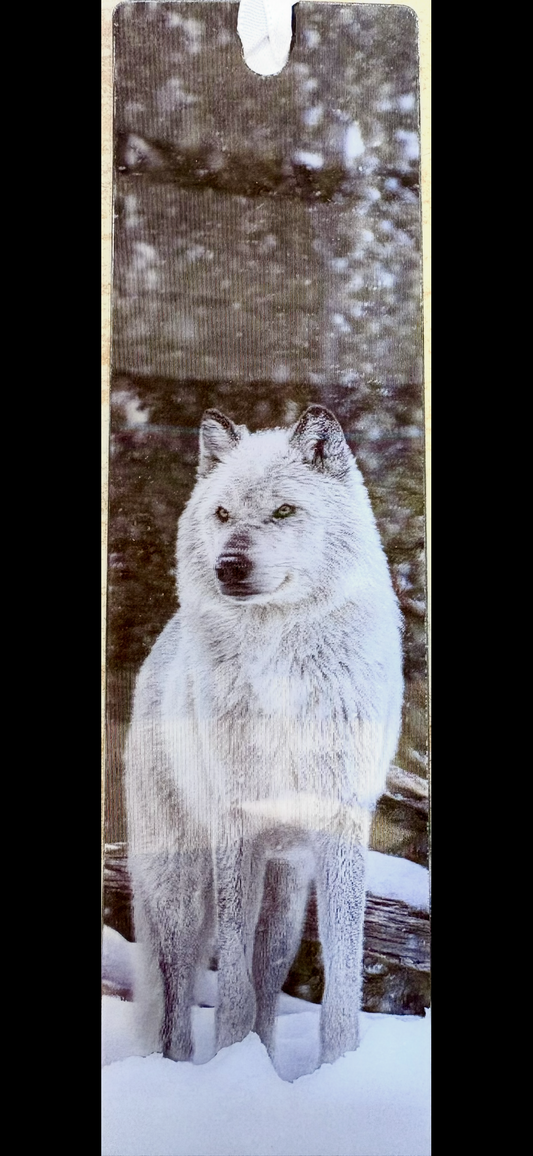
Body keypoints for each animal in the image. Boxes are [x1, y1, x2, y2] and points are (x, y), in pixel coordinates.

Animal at [125, 404, 403, 1070]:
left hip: (286, 889)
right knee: (177, 998)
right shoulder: (237, 828)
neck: (283, 677)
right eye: (223, 514)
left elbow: (341, 981)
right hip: (180, 887)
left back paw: (272, 1062)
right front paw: (233, 1067)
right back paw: (180, 1069)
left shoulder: (339, 825)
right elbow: (231, 988)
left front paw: (338, 1071)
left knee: (270, 972)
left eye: (283, 511)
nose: (229, 565)